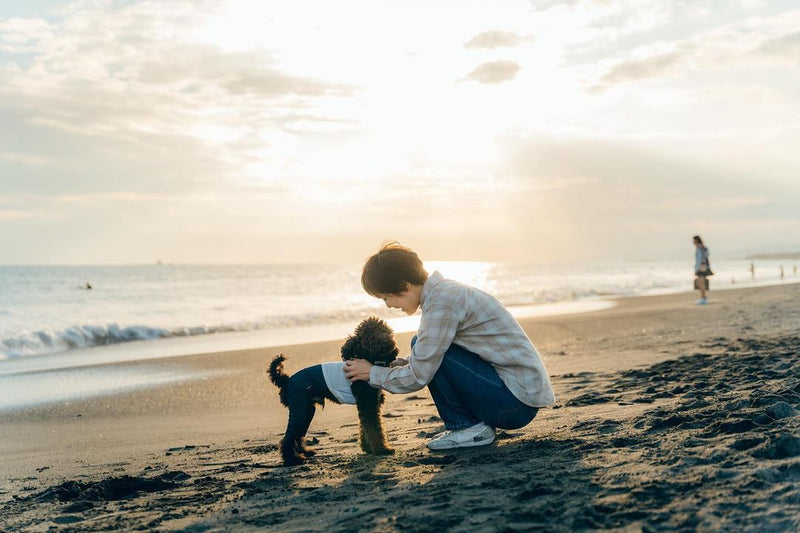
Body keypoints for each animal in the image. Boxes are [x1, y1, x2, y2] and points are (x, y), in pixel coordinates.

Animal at [268, 316, 398, 466]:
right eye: (370, 337)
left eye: (385, 332)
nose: (388, 344)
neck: (368, 359)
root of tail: (287, 380)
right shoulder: (367, 404)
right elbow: (374, 429)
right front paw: (382, 449)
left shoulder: (370, 404)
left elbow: (365, 428)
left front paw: (368, 448)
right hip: (299, 408)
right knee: (288, 437)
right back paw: (293, 459)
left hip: (307, 410)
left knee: (298, 435)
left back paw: (305, 452)